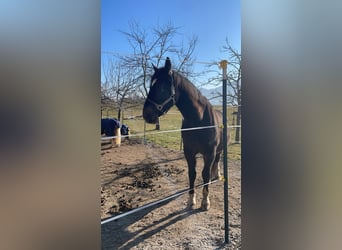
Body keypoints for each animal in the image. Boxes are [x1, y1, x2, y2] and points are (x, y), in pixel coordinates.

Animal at [142, 57, 230, 210]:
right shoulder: (188, 152)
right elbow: (192, 174)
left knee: (217, 160)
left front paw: (205, 202)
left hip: (219, 150)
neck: (199, 120)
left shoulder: (209, 153)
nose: (146, 114)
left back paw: (217, 175)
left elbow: (205, 174)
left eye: (161, 86)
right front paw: (191, 200)